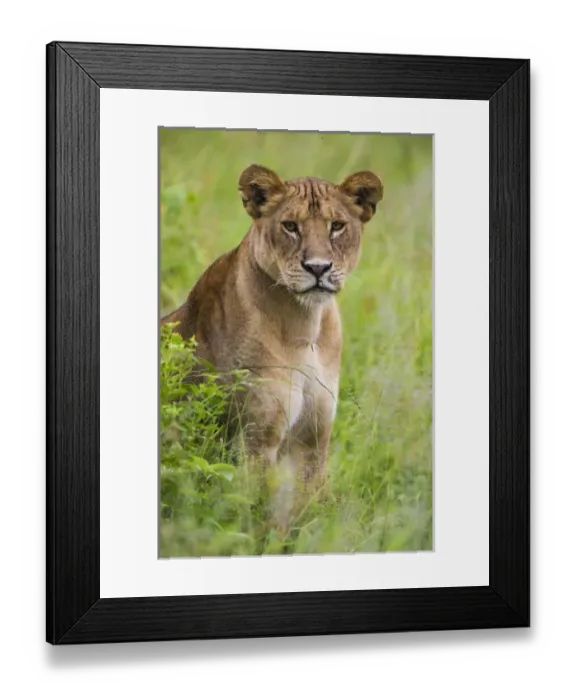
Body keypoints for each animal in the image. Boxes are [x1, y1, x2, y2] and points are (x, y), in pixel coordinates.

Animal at [162, 164, 383, 532]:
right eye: (290, 226)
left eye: (337, 226)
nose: (318, 268)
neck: (306, 327)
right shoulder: (257, 437)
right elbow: (258, 511)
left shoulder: (313, 437)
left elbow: (305, 511)